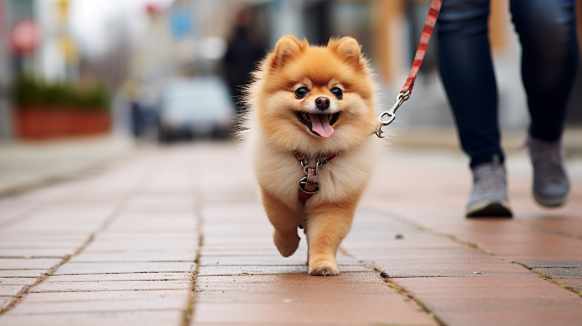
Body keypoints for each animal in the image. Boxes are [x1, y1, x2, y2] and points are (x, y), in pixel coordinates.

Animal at [244, 35, 386, 276]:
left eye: (337, 91)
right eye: (301, 91)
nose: (322, 101)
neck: (312, 158)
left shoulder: (334, 202)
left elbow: (324, 235)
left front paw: (322, 265)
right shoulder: (274, 191)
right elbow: (282, 221)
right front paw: (285, 246)